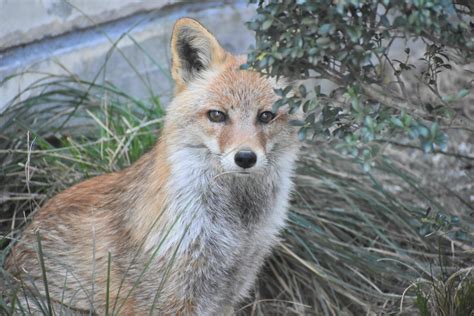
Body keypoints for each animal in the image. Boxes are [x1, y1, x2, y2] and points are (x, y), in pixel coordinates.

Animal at [4, 18, 300, 314]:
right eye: (217, 115)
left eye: (266, 116)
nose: (245, 158)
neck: (238, 228)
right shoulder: (168, 298)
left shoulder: (228, 294)